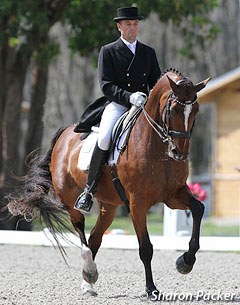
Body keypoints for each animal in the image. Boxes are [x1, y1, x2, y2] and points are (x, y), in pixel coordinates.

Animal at [7, 69, 210, 296]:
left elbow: (199, 209)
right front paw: (151, 289)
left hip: (109, 205)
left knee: (95, 237)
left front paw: (185, 261)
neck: (158, 148)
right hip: (70, 200)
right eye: (174, 110)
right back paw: (89, 270)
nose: (178, 153)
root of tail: (65, 133)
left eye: (196, 110)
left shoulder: (173, 195)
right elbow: (145, 248)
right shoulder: (137, 203)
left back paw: (88, 282)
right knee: (81, 232)